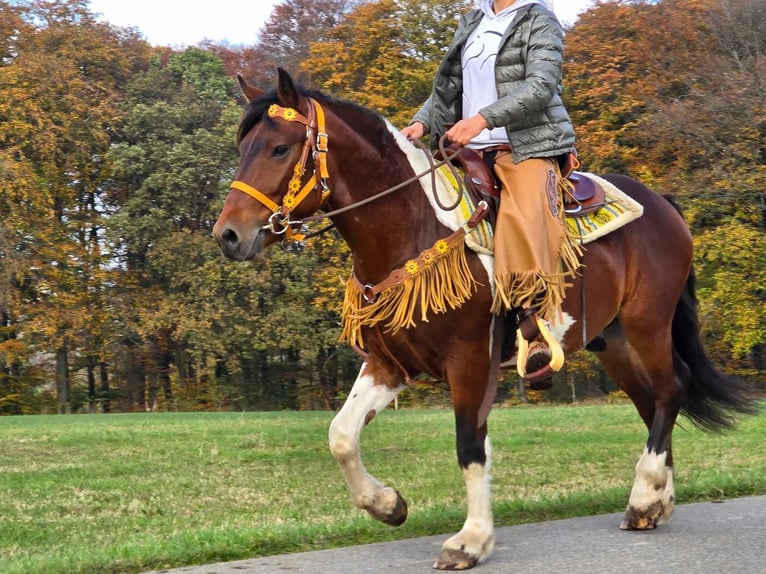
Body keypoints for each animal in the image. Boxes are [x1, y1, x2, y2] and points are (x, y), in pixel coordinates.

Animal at [213, 70, 752, 568]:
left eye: (279, 149)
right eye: (243, 149)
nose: (228, 235)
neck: (413, 227)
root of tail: (664, 205)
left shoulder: (471, 359)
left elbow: (471, 445)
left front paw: (470, 540)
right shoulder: (390, 363)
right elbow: (342, 436)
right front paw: (387, 505)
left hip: (646, 324)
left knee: (670, 389)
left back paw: (644, 497)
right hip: (613, 341)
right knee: (650, 402)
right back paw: (658, 501)